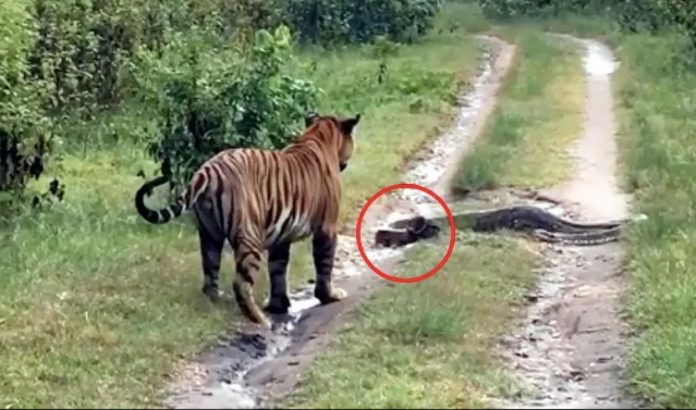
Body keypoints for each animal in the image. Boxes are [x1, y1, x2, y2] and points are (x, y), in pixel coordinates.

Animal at [134, 112, 361, 328]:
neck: (317, 136)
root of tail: (207, 171)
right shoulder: (327, 227)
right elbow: (324, 265)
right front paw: (329, 296)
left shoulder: (282, 236)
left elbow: (278, 270)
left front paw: (278, 305)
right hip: (250, 236)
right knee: (241, 284)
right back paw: (260, 319)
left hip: (209, 234)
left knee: (209, 273)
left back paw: (215, 301)